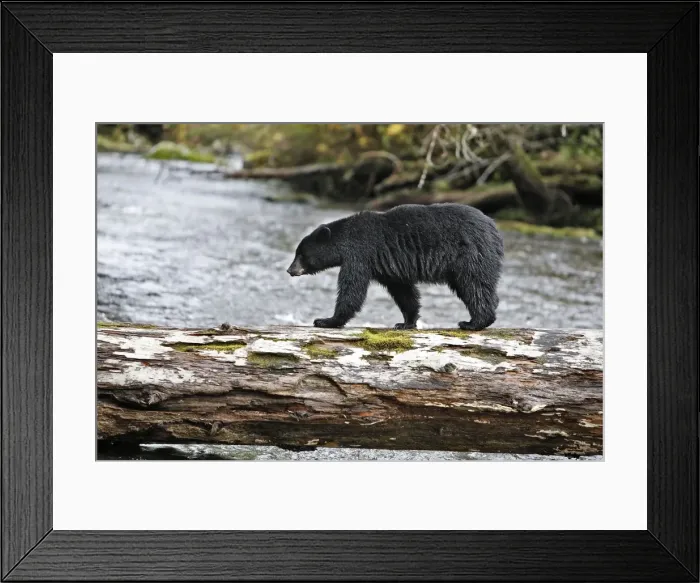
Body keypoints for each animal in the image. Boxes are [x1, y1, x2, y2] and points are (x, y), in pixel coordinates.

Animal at [287, 203, 504, 330]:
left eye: (301, 254)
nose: (290, 270)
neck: (345, 240)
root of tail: (494, 228)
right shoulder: (388, 267)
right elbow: (403, 292)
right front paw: (406, 322)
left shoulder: (360, 255)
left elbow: (352, 290)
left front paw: (326, 320)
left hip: (470, 255)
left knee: (475, 285)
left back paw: (473, 322)